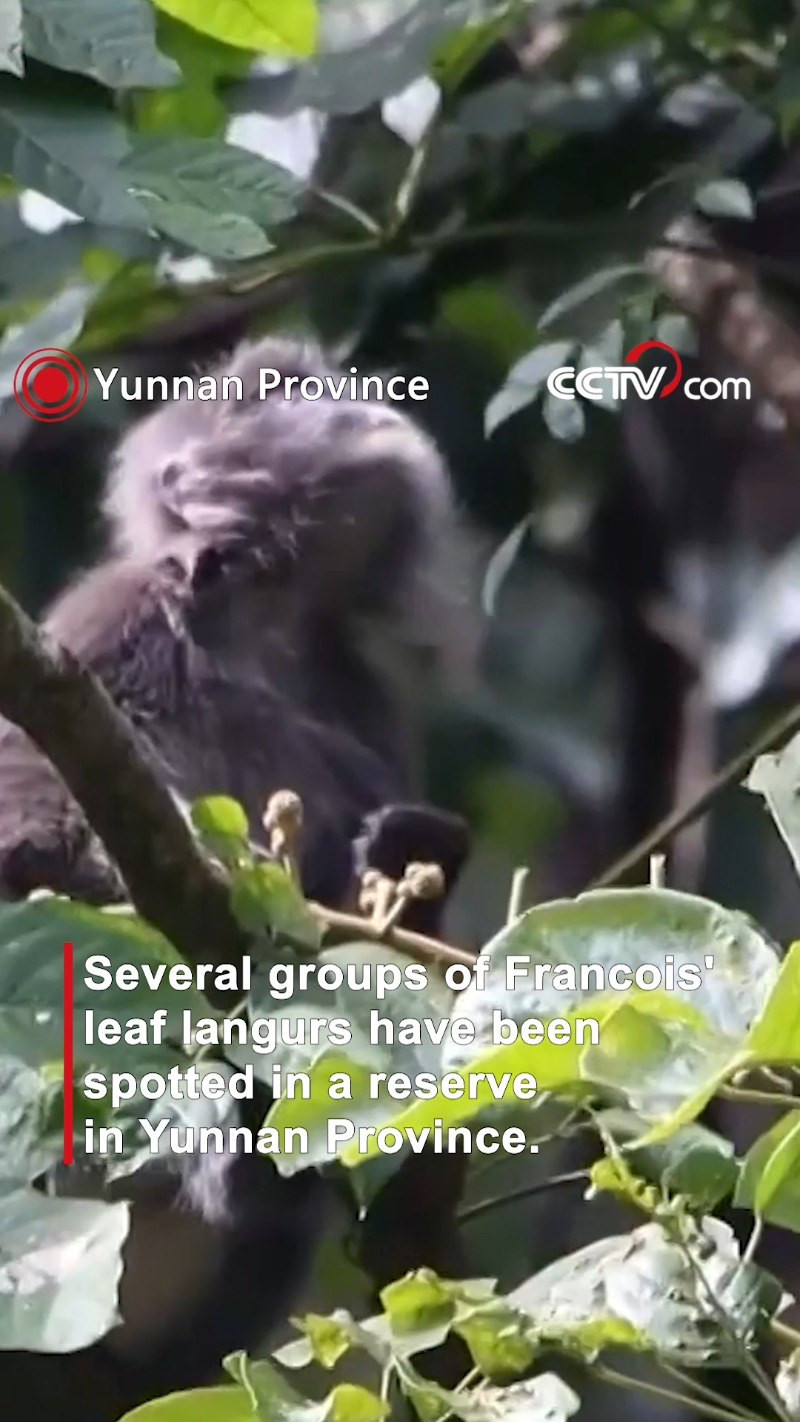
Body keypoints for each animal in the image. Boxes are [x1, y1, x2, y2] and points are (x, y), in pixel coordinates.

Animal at [0, 335, 476, 1420]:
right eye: (185, 488)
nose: (202, 541)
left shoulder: (356, 686)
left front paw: (403, 860)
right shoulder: (108, 627)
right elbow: (26, 824)